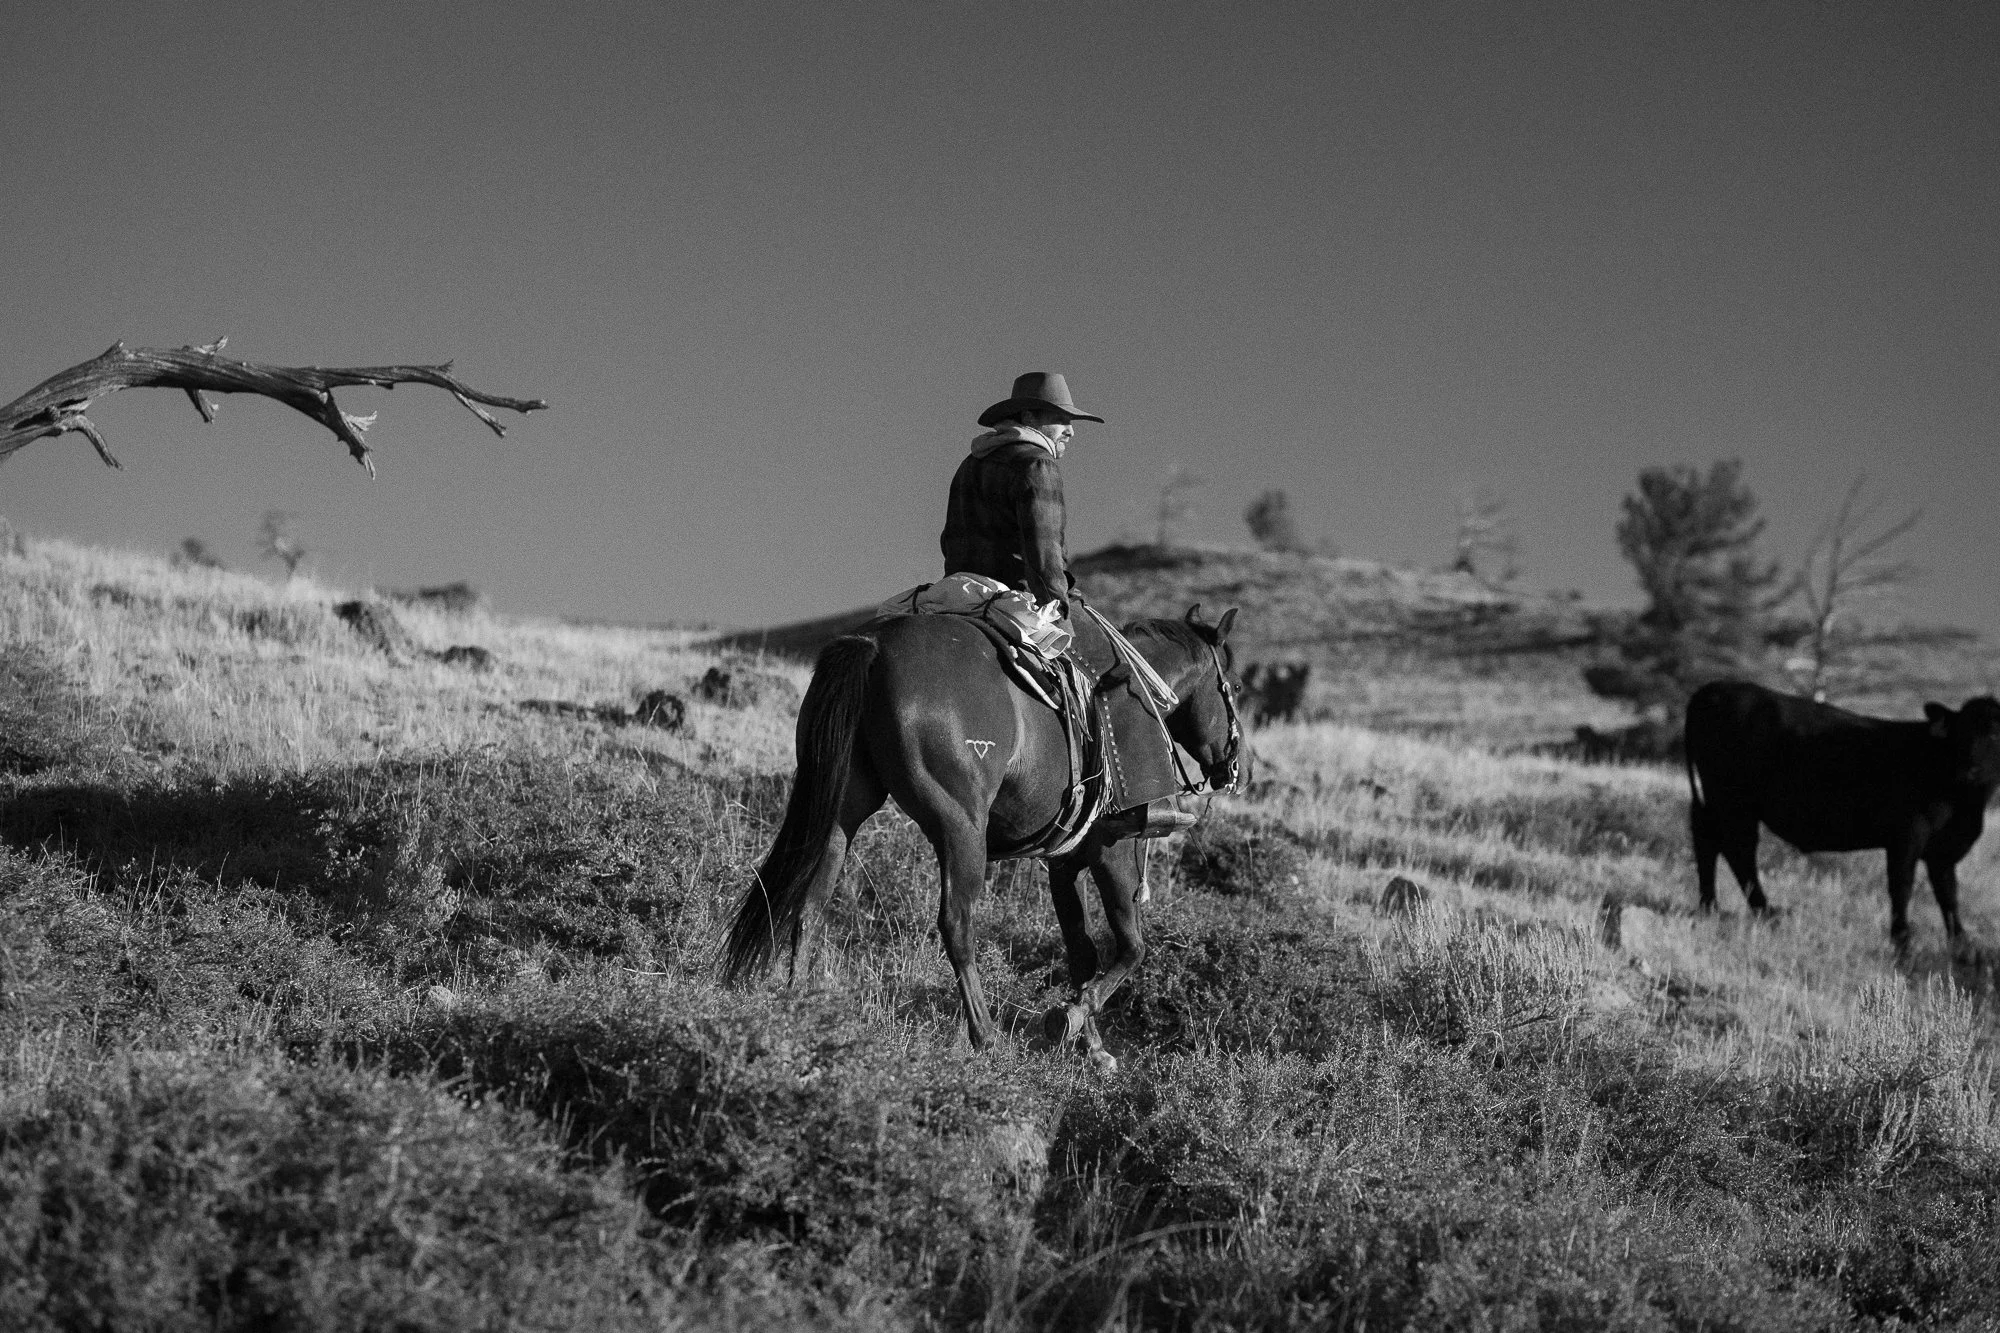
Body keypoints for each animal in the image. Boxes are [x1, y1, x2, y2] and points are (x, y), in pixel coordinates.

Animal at [1684, 680, 2000, 944]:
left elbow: (1949, 894)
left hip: (1717, 801)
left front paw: (1962, 945)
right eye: (1961, 733)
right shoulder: (1907, 835)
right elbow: (1902, 886)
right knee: (1738, 851)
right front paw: (1901, 941)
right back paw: (1765, 913)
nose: (1969, 769)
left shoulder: (1944, 849)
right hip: (1732, 801)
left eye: (1995, 735)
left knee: (1708, 841)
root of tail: (1712, 688)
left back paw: (1711, 907)